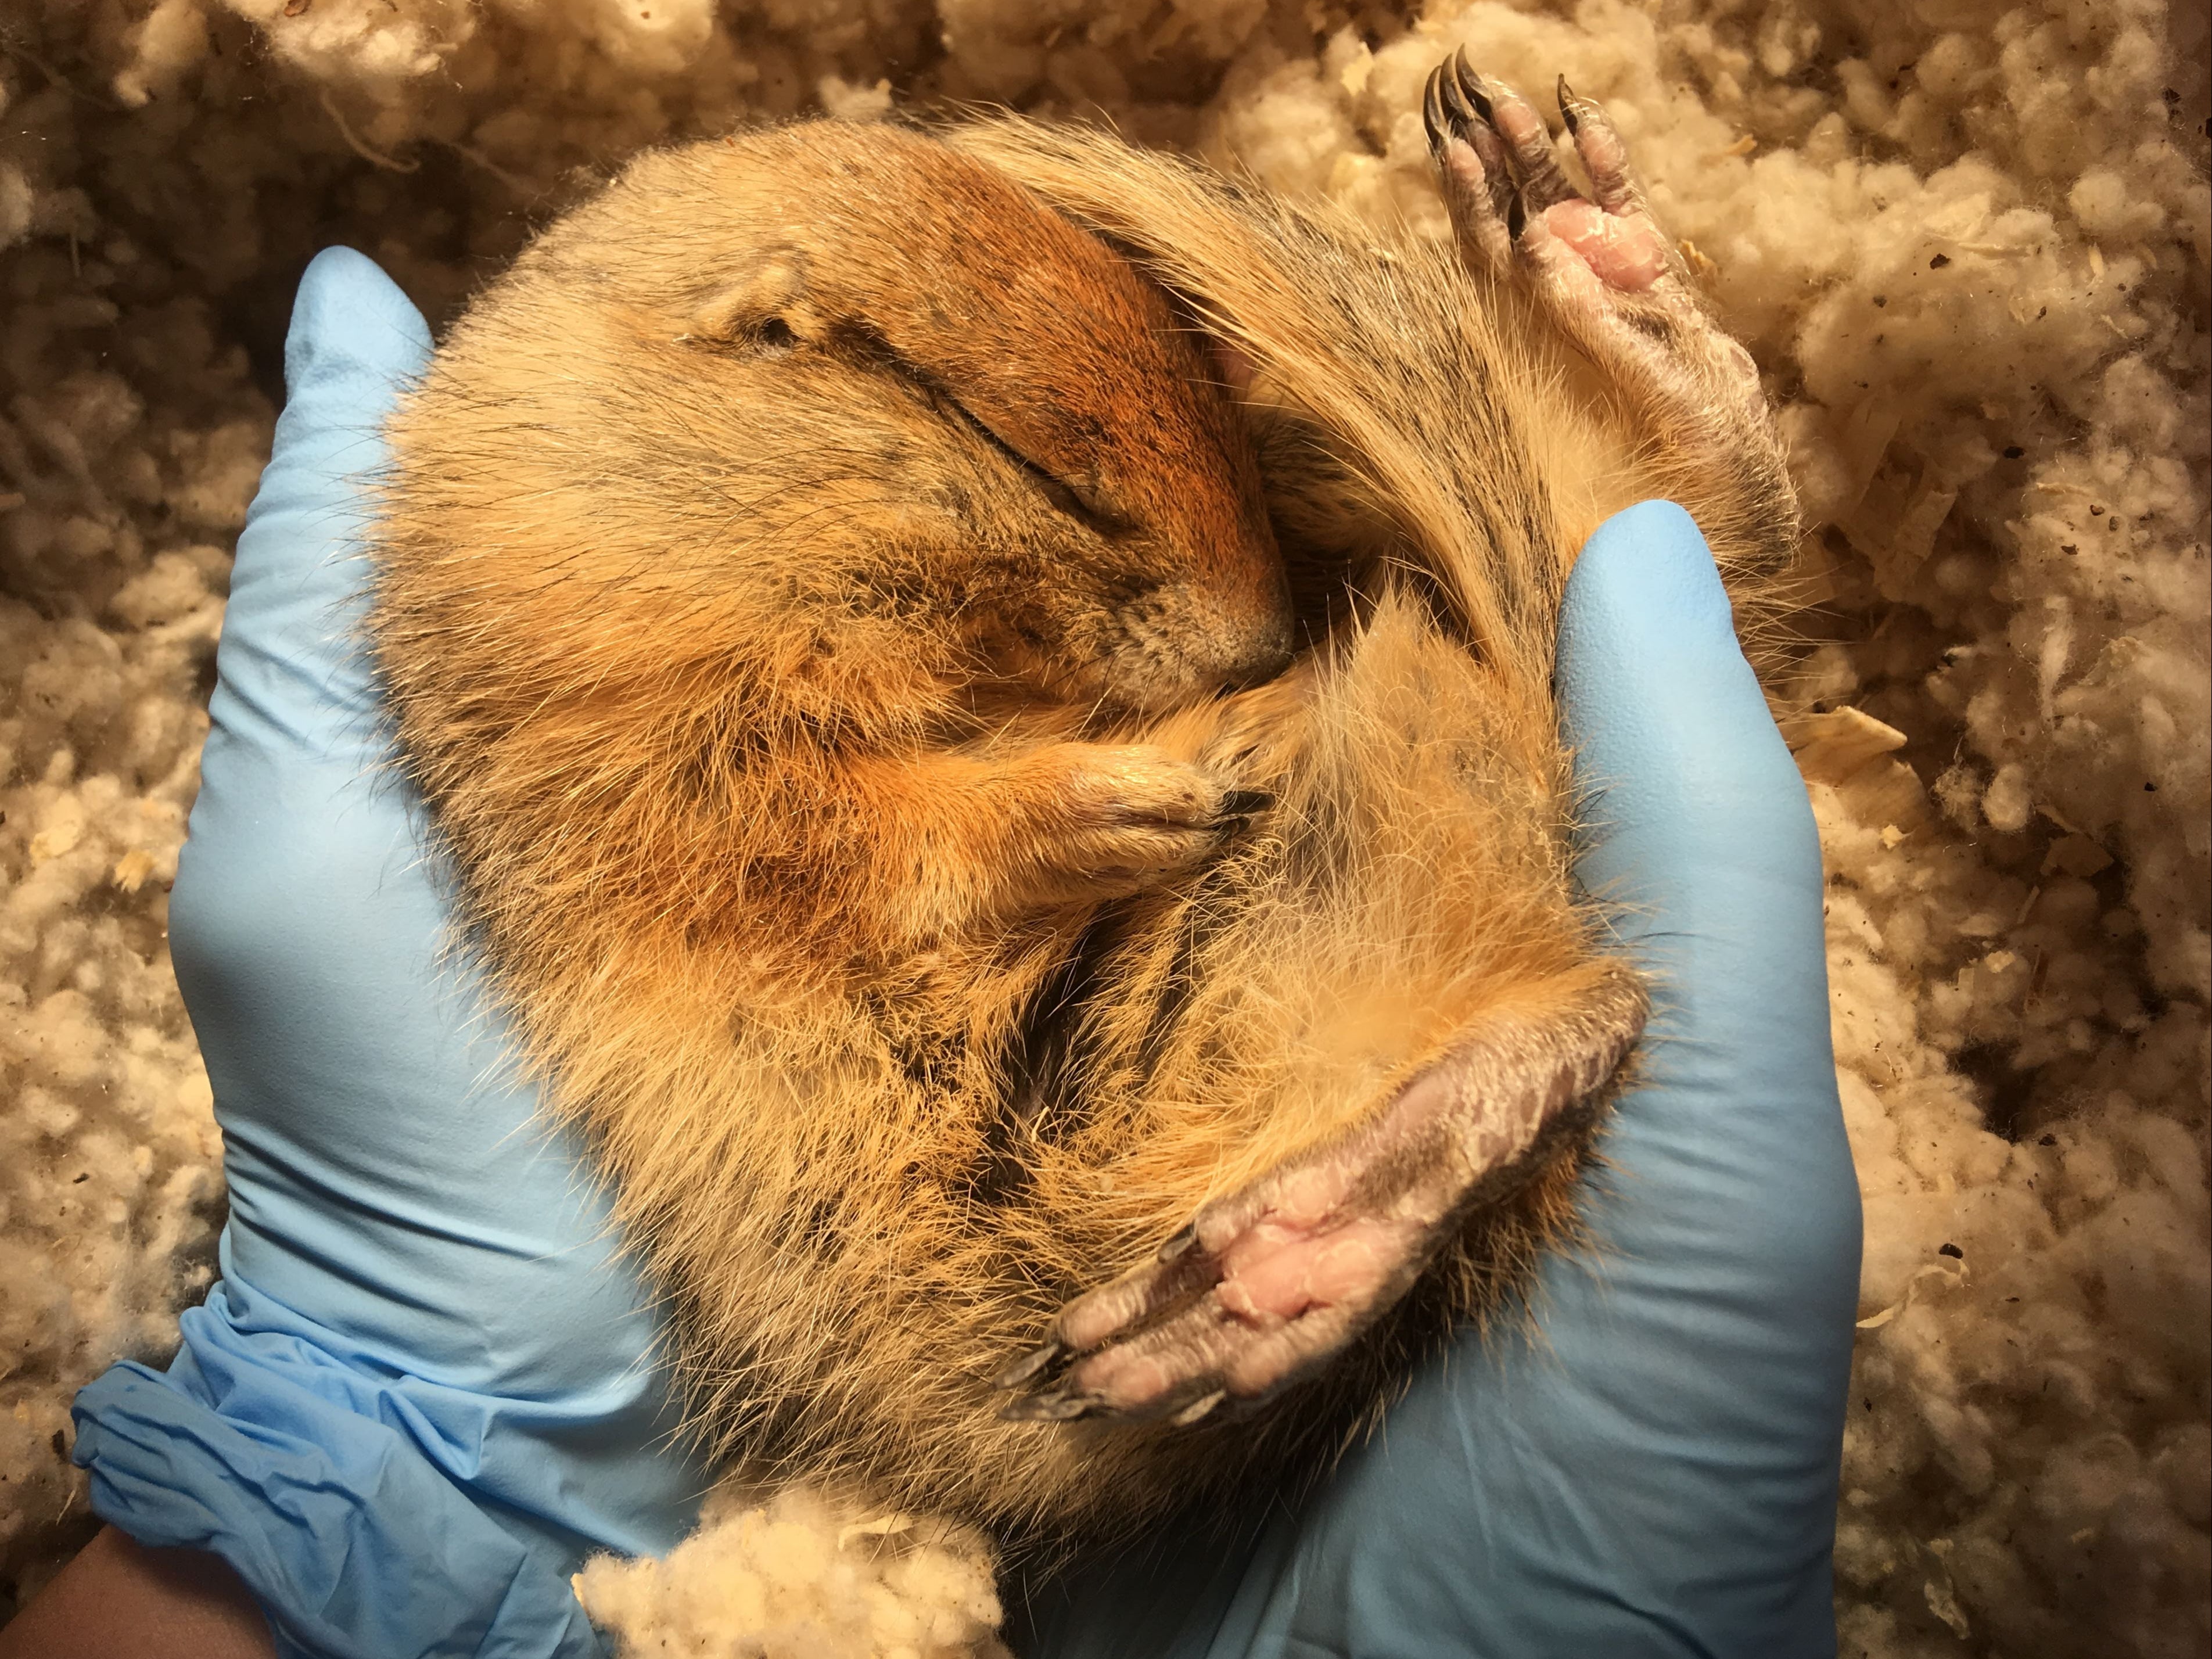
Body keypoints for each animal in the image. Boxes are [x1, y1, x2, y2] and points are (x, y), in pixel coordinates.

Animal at [371, 55, 1805, 1557]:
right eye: (1039, 464)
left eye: (1208, 389)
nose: (1271, 643)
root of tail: (1544, 818)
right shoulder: (686, 792)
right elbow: (883, 838)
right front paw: (1164, 785)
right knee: (1582, 1032)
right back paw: (1271, 1267)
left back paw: (1579, 235)